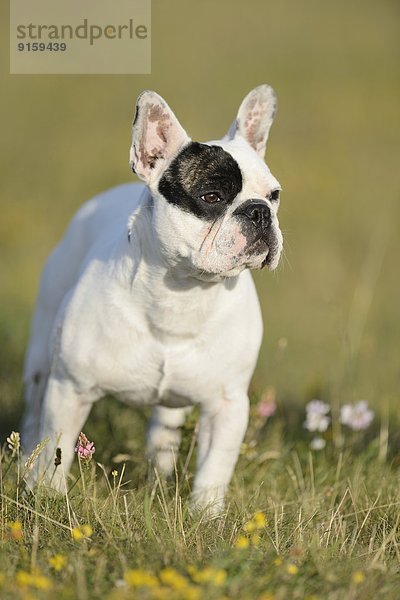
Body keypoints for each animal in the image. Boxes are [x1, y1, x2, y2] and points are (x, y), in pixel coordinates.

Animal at [21, 84, 282, 512]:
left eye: (274, 195)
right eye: (212, 196)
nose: (259, 212)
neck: (185, 292)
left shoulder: (227, 405)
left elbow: (215, 467)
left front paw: (206, 514)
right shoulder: (70, 389)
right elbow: (56, 448)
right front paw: (48, 496)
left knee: (164, 430)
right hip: (41, 361)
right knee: (32, 421)